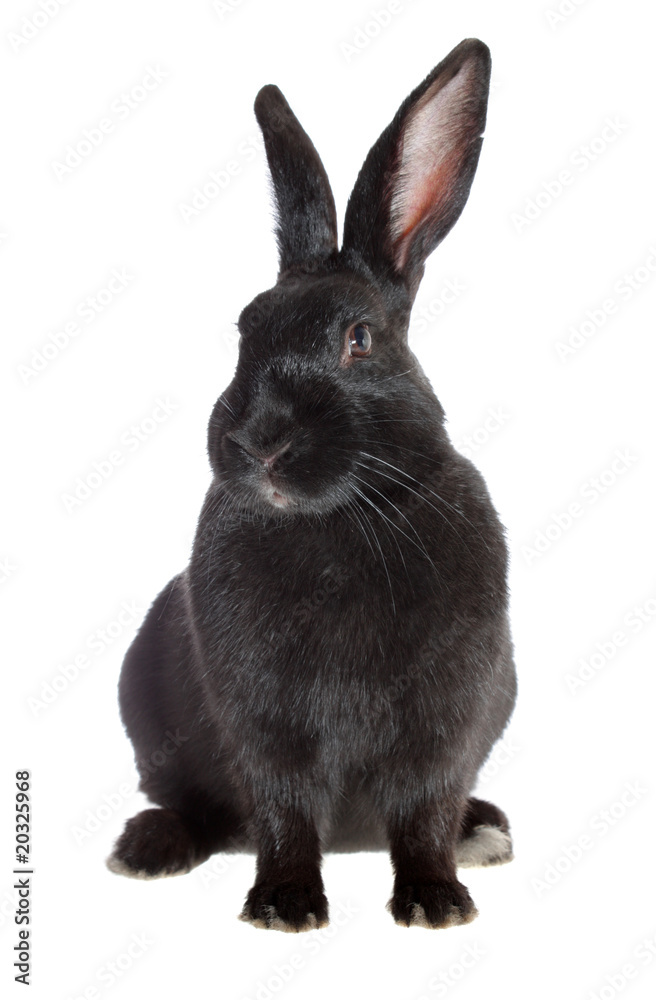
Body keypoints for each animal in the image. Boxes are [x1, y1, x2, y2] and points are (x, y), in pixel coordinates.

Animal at [107, 37, 517, 932]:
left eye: (359, 339)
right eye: (244, 330)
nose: (261, 442)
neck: (341, 517)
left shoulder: (450, 717)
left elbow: (426, 806)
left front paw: (437, 904)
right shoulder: (263, 721)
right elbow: (283, 808)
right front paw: (285, 908)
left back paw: (485, 833)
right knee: (200, 808)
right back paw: (145, 849)